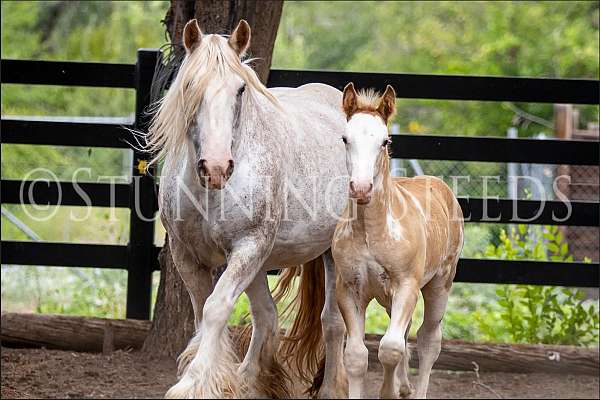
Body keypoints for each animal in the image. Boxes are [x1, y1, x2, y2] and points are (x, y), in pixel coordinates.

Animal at [147, 19, 346, 400]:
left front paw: (195, 382)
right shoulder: (187, 254)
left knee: (333, 323)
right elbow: (204, 312)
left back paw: (331, 389)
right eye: (190, 84)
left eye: (240, 90)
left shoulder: (248, 247)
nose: (216, 167)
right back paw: (252, 379)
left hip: (330, 255)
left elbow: (216, 308)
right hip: (261, 264)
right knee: (267, 316)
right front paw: (215, 377)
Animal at [332, 83, 464, 398]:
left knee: (428, 339)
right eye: (345, 138)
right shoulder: (349, 288)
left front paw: (388, 392)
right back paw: (404, 385)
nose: (361, 188)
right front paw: (392, 387)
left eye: (385, 141)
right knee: (407, 331)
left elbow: (390, 348)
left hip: (440, 283)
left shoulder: (406, 285)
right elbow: (356, 356)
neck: (372, 232)